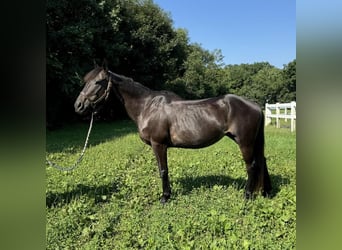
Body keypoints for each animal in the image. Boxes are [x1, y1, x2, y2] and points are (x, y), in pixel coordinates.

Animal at [73, 64, 272, 203]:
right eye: (86, 80)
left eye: (98, 82)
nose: (78, 106)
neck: (147, 107)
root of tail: (255, 105)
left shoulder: (158, 144)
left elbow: (163, 170)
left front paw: (165, 197)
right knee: (262, 161)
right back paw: (265, 191)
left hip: (245, 142)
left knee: (252, 166)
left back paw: (247, 195)